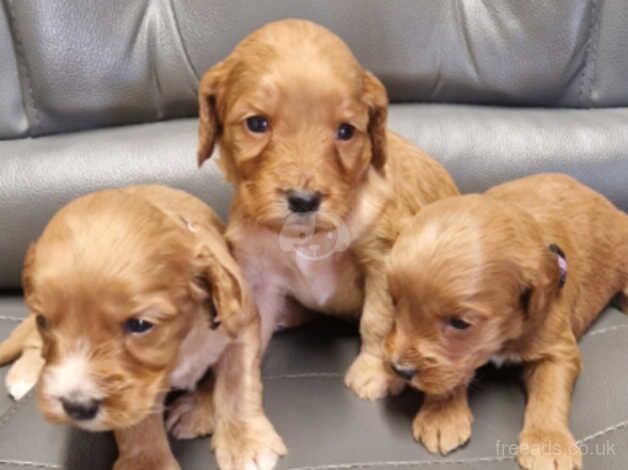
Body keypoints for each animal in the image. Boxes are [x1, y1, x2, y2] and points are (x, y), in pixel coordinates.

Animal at [0, 185, 284, 470]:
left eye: (139, 325)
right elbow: (137, 420)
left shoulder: (241, 325)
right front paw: (148, 462)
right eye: (43, 320)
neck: (182, 344)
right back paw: (24, 374)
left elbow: (237, 384)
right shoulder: (138, 385)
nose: (77, 407)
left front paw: (244, 441)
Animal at [195, 19, 456, 400]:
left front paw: (374, 371)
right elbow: (247, 334)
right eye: (256, 124)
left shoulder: (382, 259)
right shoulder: (259, 275)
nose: (304, 200)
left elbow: (378, 319)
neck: (308, 237)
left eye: (346, 131)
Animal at [386, 173, 624, 470]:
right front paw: (441, 414)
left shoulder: (557, 347)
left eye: (460, 323)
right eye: (394, 301)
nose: (400, 370)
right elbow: (453, 372)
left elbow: (550, 393)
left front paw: (547, 442)